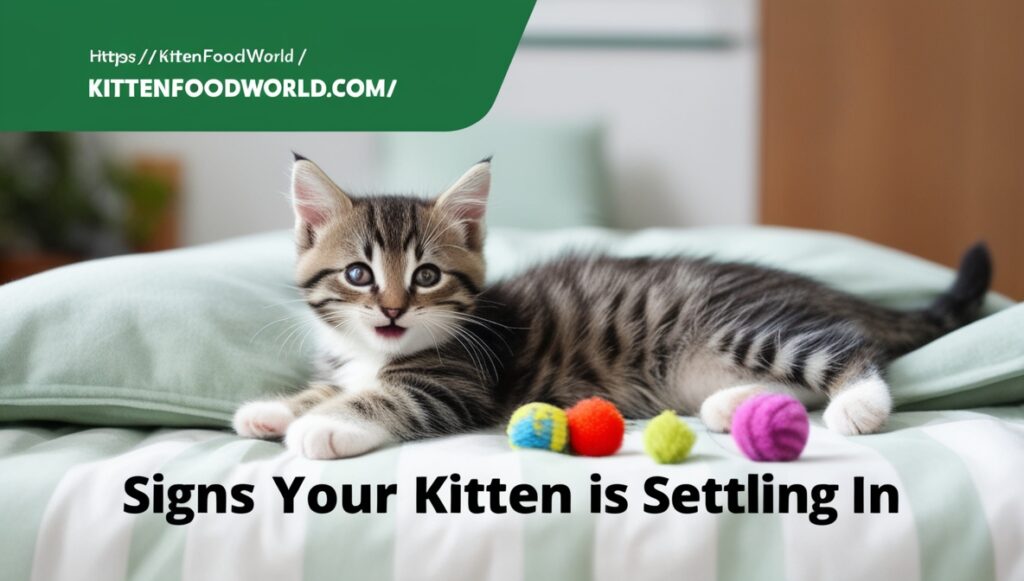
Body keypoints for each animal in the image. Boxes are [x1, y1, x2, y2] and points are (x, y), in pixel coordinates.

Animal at [234, 154, 991, 459]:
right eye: (359, 274)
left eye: (425, 276)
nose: (391, 311)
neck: (377, 351)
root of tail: (820, 291)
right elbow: (330, 385)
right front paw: (279, 409)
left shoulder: (458, 383)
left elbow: (389, 397)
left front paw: (326, 426)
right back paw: (732, 406)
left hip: (751, 327)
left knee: (851, 349)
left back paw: (858, 403)